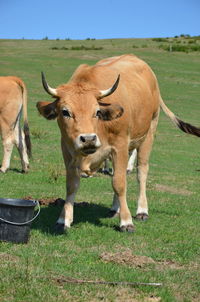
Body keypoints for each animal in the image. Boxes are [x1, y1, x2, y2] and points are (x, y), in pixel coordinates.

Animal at [36, 54, 200, 234]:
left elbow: (119, 184)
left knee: (141, 172)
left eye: (97, 112)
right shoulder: (67, 149)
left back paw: (142, 210)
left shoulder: (119, 146)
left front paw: (126, 221)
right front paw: (63, 219)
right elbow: (72, 185)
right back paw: (116, 208)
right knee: (120, 173)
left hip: (149, 133)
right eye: (65, 112)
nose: (88, 139)